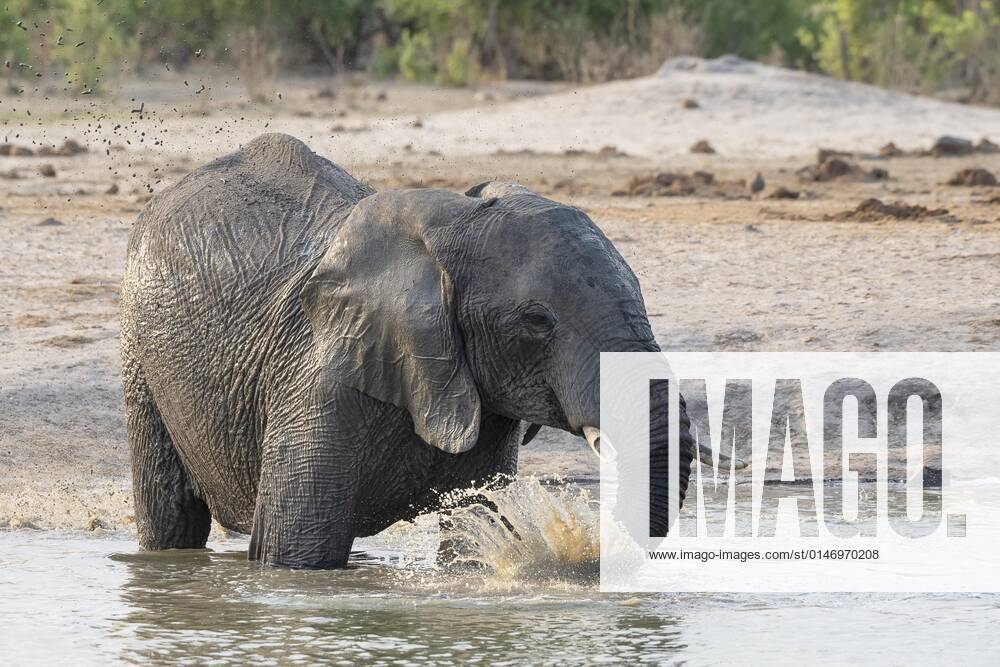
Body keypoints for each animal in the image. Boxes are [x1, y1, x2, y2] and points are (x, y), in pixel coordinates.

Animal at [121, 133, 695, 568]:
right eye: (537, 322)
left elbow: (474, 532)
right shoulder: (316, 380)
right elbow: (297, 549)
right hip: (138, 350)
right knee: (170, 515)